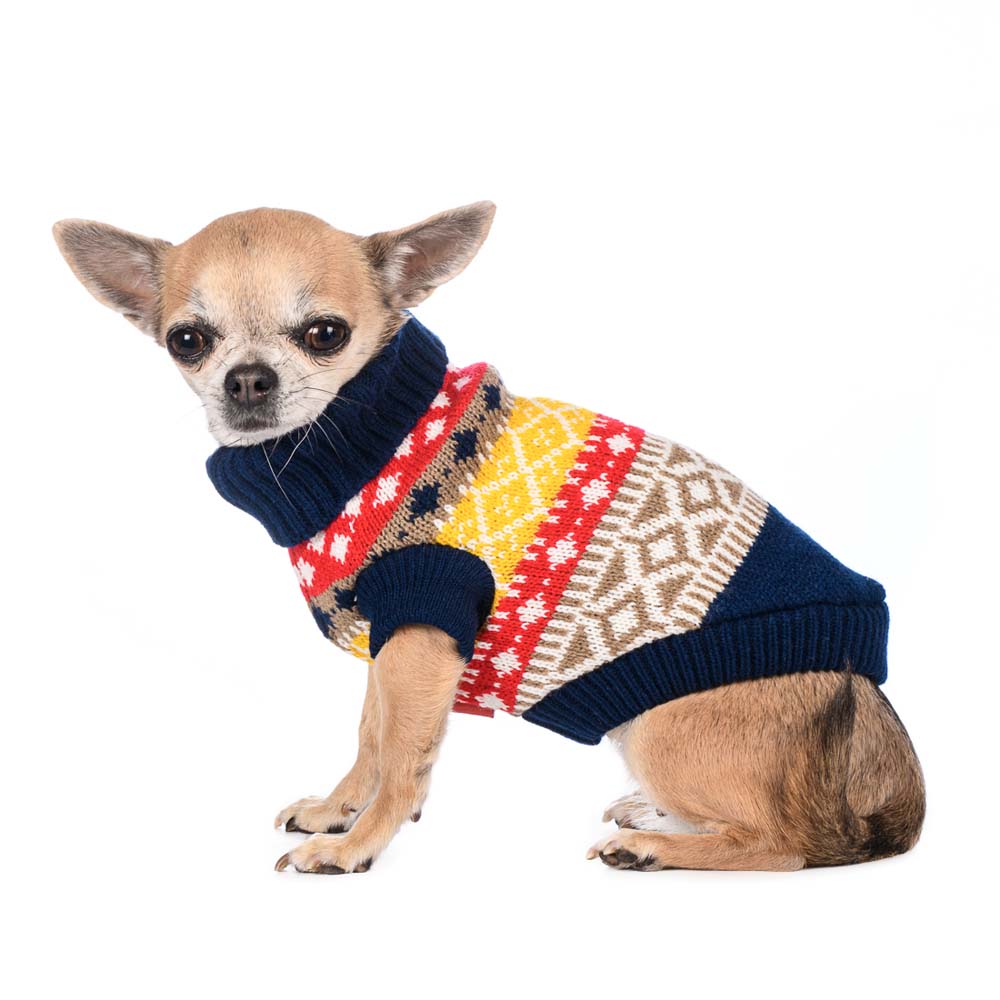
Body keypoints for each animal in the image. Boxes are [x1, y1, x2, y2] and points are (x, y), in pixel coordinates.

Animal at [53, 203, 924, 874]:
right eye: (188, 340)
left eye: (325, 333)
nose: (247, 380)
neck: (366, 442)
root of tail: (868, 713)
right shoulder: (392, 638)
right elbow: (371, 737)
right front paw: (339, 810)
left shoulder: (422, 626)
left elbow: (402, 757)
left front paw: (356, 845)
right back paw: (658, 820)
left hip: (665, 727)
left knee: (788, 844)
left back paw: (659, 850)